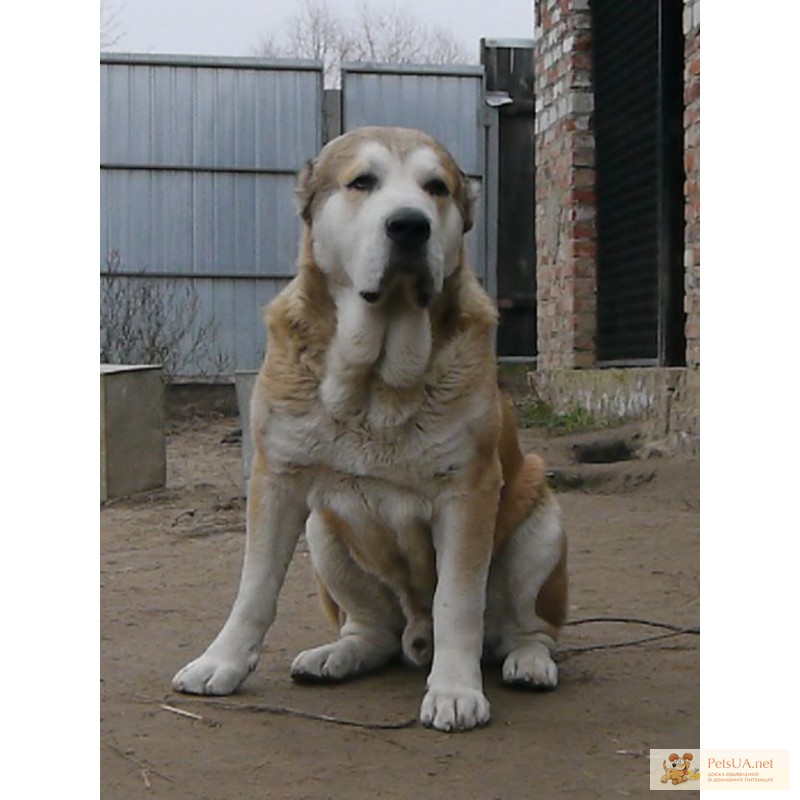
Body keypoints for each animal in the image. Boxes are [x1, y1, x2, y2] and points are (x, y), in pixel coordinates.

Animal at [172, 125, 564, 732]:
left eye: (436, 188)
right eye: (362, 182)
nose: (409, 225)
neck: (376, 379)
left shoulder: (468, 493)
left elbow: (458, 601)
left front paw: (455, 689)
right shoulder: (276, 480)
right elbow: (254, 588)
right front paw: (222, 662)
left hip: (543, 525)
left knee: (527, 627)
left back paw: (528, 661)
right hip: (324, 533)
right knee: (372, 630)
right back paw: (337, 655)